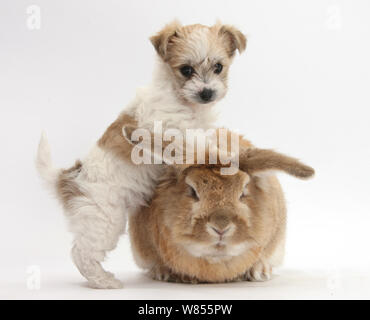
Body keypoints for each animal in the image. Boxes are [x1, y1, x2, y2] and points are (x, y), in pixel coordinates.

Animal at [36, 21, 247, 288]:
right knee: (81, 253)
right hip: (104, 218)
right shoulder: (170, 133)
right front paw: (227, 155)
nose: (206, 92)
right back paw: (103, 281)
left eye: (218, 67)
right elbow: (199, 146)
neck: (182, 100)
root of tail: (70, 177)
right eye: (186, 70)